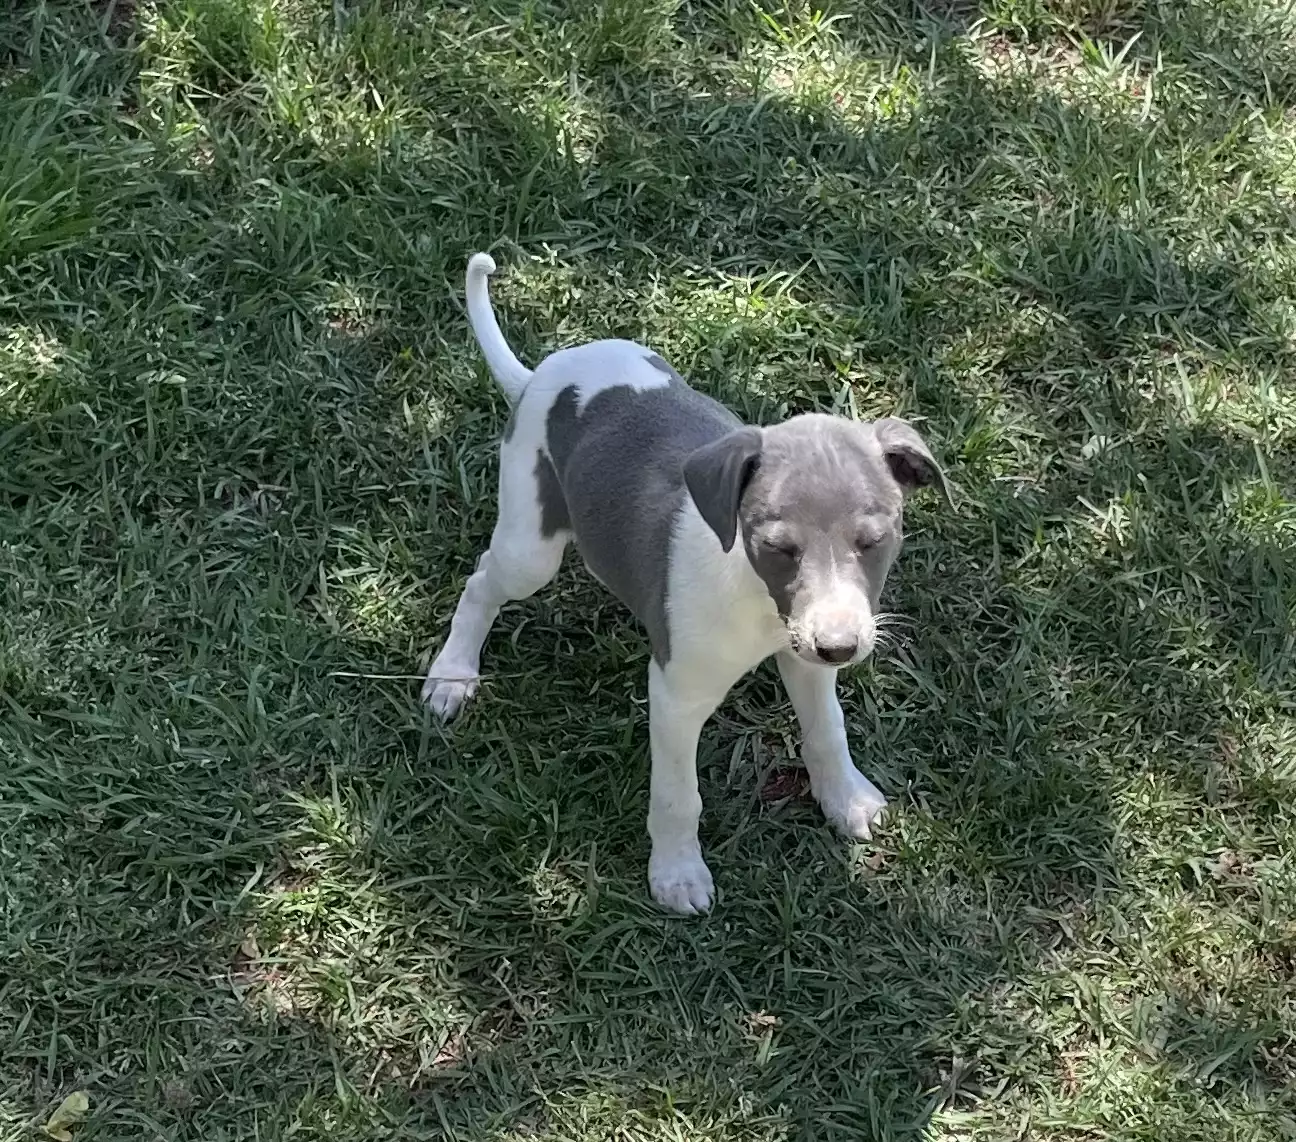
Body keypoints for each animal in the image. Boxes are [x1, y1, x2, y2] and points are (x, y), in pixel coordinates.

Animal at [424, 253, 949, 914]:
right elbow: (679, 795)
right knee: (481, 583)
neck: (758, 601)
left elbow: (827, 729)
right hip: (529, 547)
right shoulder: (677, 696)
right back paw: (452, 674)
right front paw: (676, 874)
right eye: (779, 548)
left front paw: (846, 799)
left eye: (875, 541)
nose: (840, 648)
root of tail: (545, 372)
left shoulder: (805, 654)